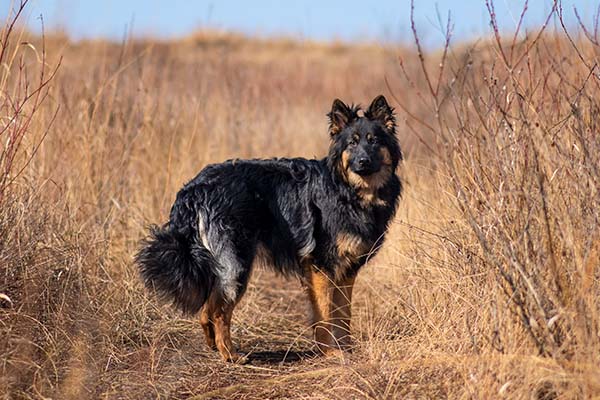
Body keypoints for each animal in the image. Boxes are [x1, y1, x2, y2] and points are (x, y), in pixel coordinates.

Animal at [136, 94, 404, 362]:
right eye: (352, 143)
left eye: (373, 141)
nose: (362, 161)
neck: (349, 190)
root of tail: (195, 188)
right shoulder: (322, 267)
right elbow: (326, 315)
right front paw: (330, 352)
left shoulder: (346, 271)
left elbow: (343, 315)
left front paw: (345, 348)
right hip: (237, 261)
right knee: (220, 310)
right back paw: (230, 354)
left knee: (207, 308)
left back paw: (214, 347)